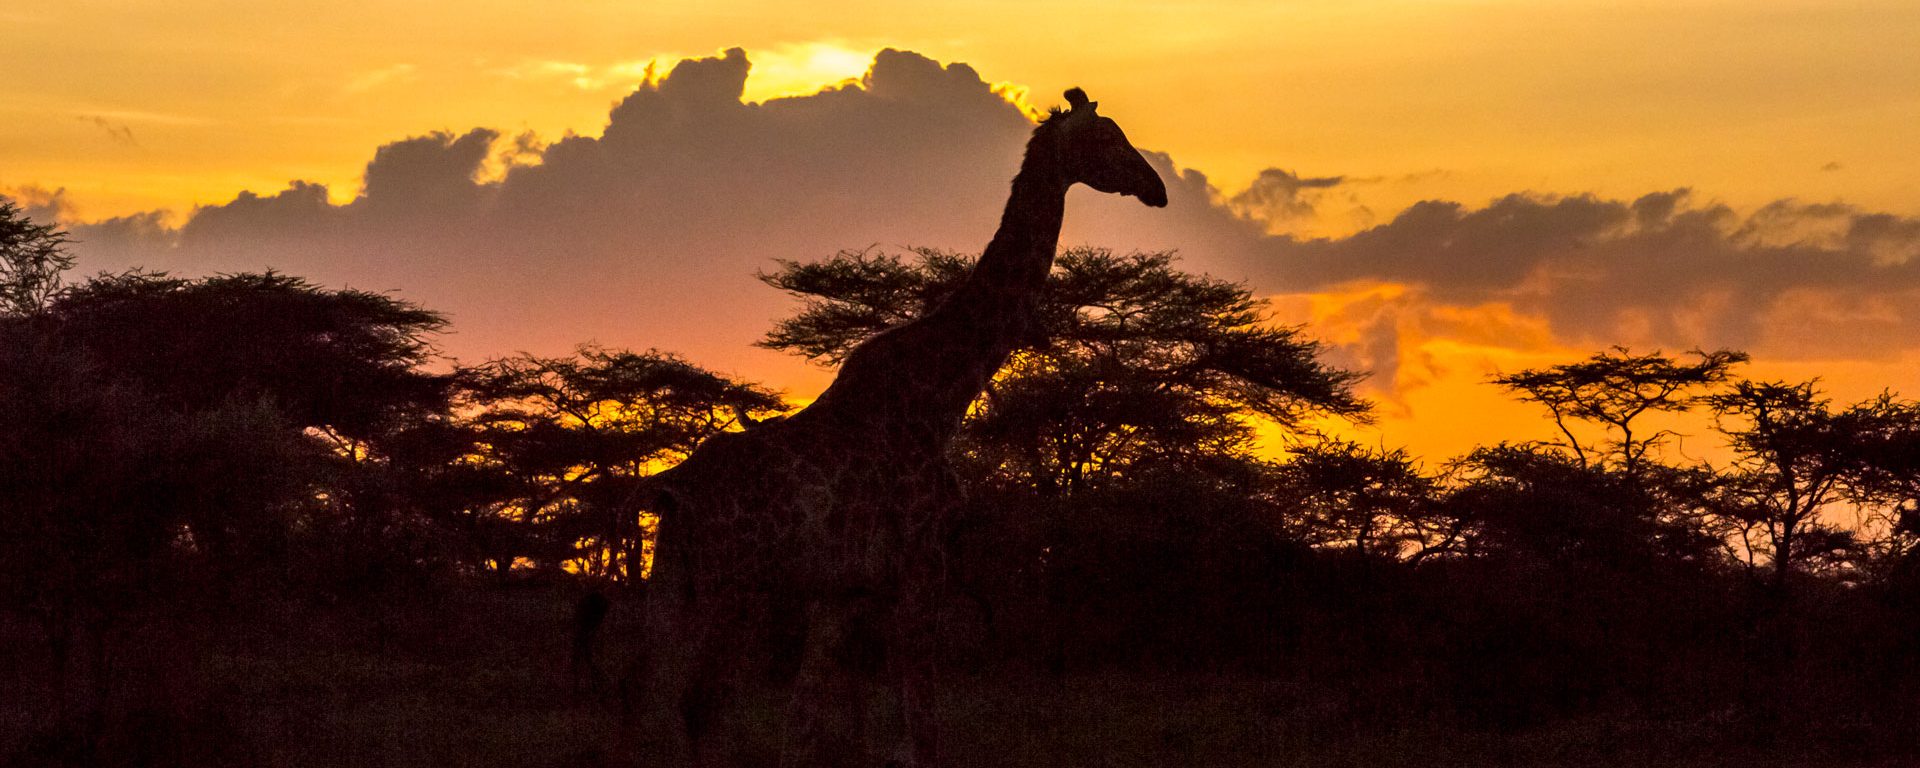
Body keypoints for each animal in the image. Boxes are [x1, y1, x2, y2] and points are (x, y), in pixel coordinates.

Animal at [637, 86, 1159, 764]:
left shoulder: (844, 591)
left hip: (673, 585)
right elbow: (922, 731)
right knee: (699, 705)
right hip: (737, 588)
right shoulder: (920, 568)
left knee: (647, 705)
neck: (942, 395)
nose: (1156, 187)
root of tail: (671, 491)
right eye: (1108, 137)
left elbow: (804, 724)